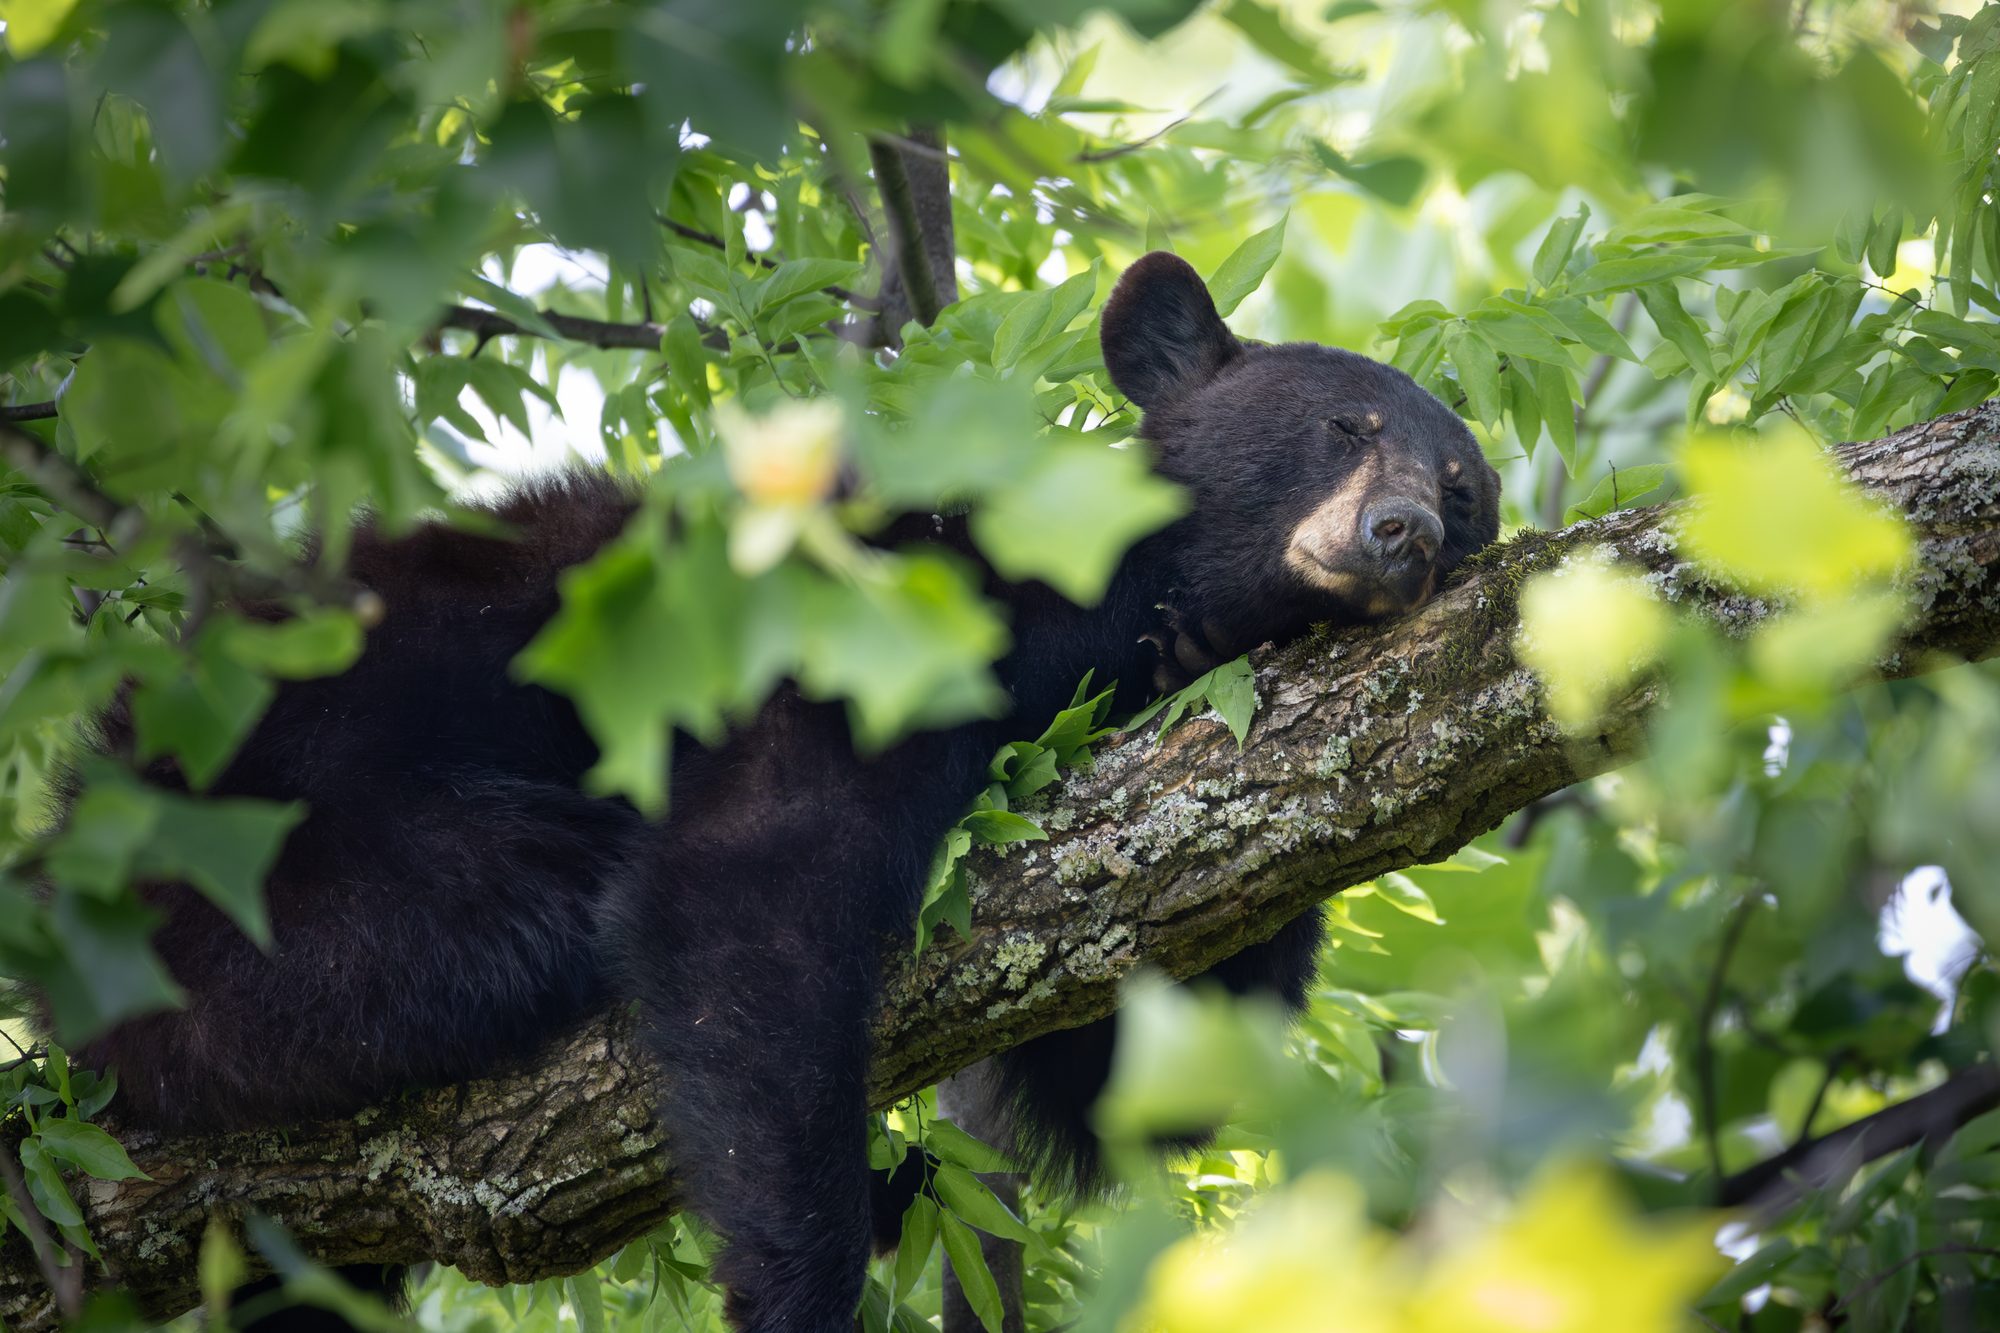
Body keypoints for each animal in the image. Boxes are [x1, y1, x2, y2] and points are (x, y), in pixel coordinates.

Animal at [44, 251, 1501, 1331]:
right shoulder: (887, 626)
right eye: (1343, 428)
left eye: (1467, 488)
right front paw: (800, 1284)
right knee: (522, 919)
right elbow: (758, 881)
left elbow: (1132, 1072)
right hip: (267, 891)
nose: (1405, 535)